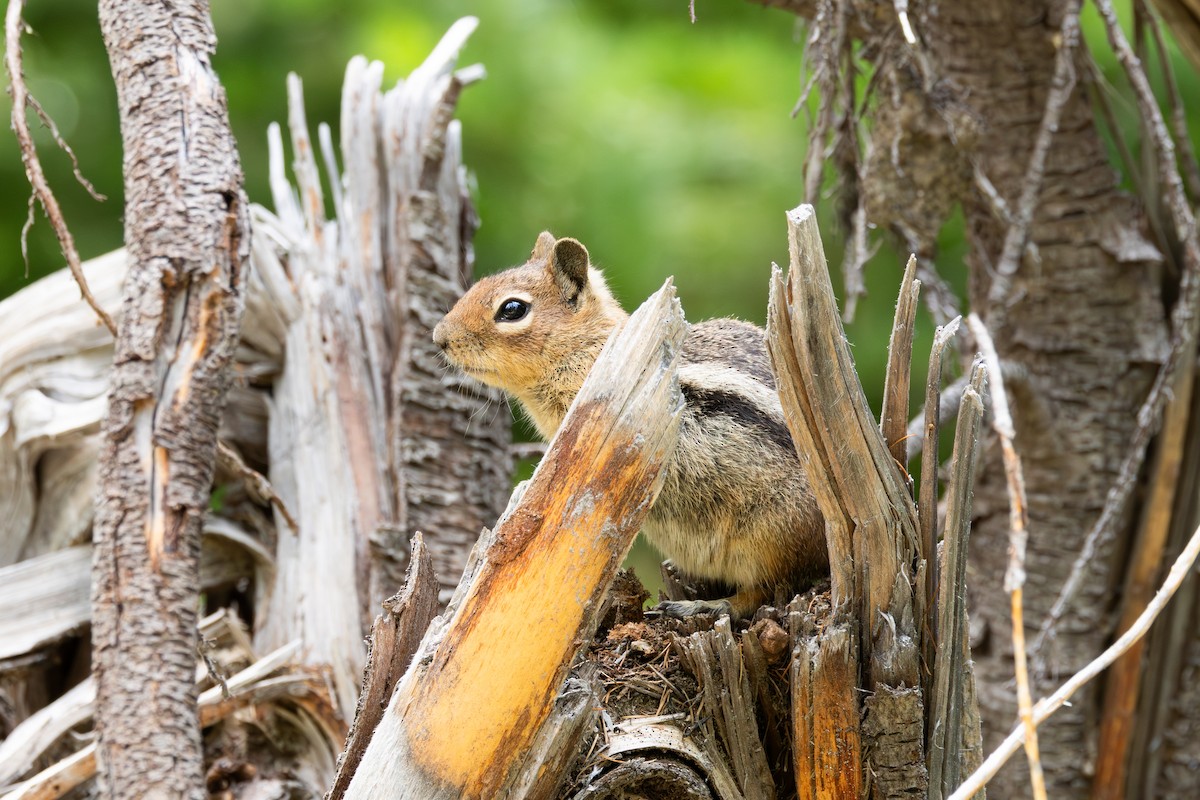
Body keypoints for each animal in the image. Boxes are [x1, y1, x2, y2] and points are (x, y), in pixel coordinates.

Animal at [432, 232, 827, 620]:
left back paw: (703, 605)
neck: (587, 348)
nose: (439, 337)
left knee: (767, 589)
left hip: (772, 534)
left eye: (512, 309)